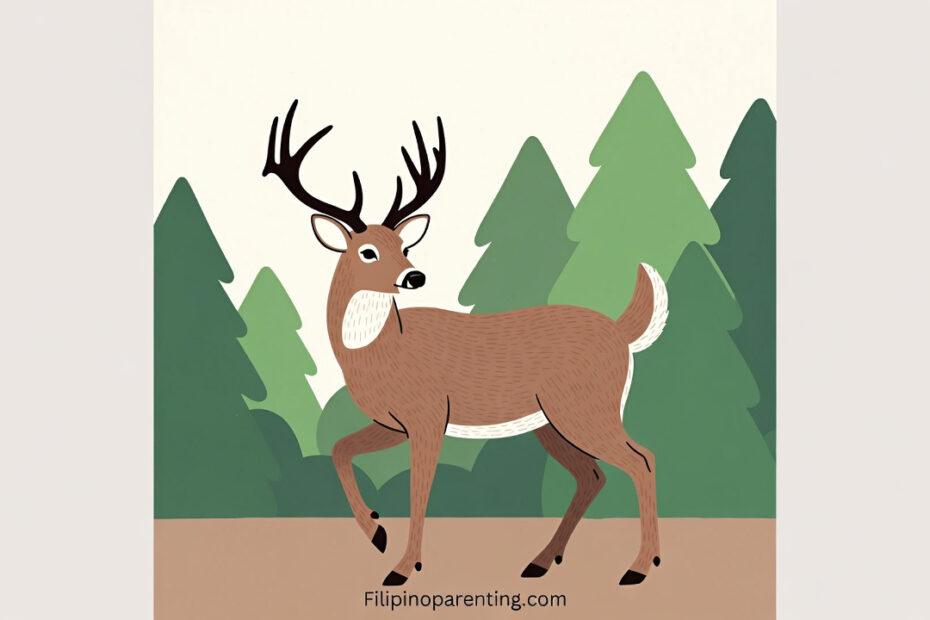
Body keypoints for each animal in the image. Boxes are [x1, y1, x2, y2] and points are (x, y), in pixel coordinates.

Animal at [262, 100, 668, 587]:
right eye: (367, 251)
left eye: (403, 246)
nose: (414, 276)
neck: (384, 351)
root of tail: (621, 332)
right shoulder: (391, 422)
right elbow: (340, 450)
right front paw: (377, 532)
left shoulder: (428, 414)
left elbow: (419, 491)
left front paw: (403, 567)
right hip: (552, 422)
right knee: (593, 476)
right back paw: (540, 561)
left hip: (586, 407)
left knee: (642, 459)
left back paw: (639, 567)